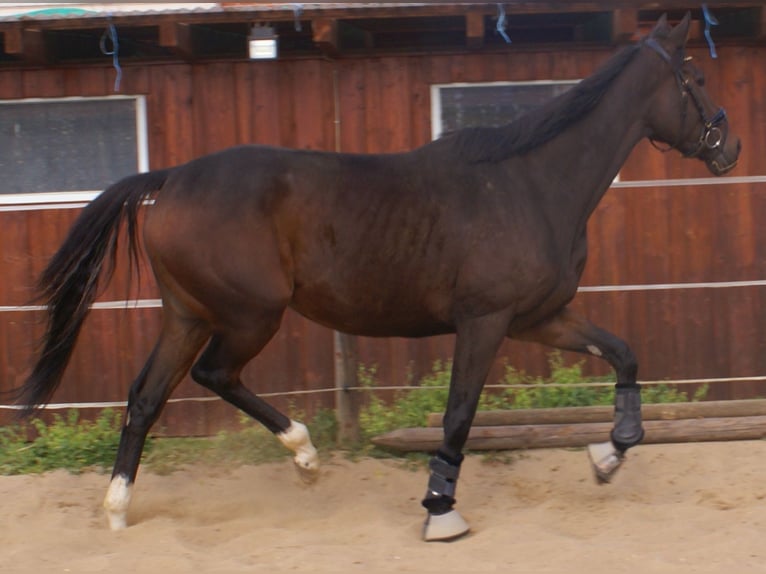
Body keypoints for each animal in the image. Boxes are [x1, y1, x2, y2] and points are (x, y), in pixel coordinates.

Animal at [14, 13, 739, 541]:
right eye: (696, 74)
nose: (729, 147)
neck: (530, 184)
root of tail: (168, 181)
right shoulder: (485, 321)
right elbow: (458, 414)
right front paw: (441, 511)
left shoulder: (539, 318)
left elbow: (623, 354)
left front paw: (610, 455)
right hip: (249, 315)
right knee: (213, 375)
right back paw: (304, 455)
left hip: (188, 315)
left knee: (145, 398)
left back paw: (120, 509)